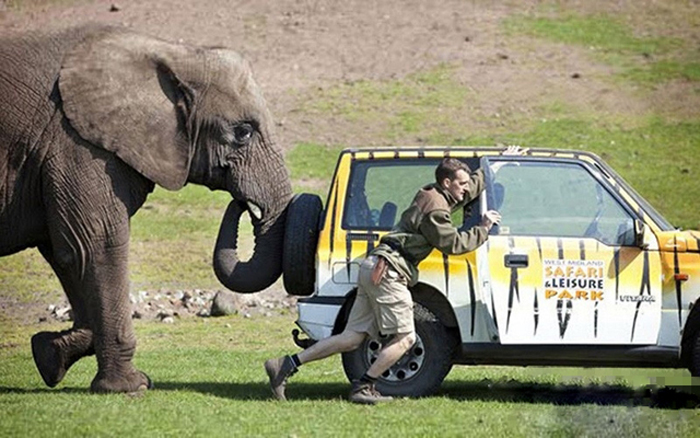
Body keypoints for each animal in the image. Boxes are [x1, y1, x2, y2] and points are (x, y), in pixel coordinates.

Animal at [0, 25, 292, 392]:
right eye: (243, 132)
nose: (243, 203)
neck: (173, 53)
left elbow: (67, 253)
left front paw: (49, 354)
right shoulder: (77, 144)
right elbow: (94, 245)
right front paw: (132, 387)